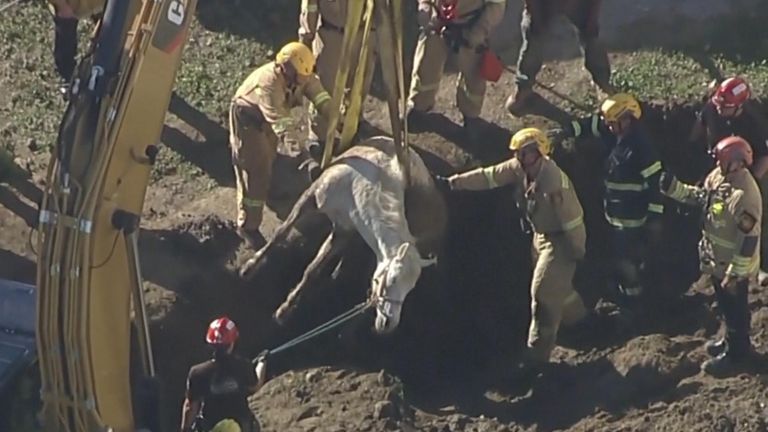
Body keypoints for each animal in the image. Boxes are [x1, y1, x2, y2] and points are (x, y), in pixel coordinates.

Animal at [237, 136, 448, 334]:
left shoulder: (343, 231)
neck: (358, 189)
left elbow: (312, 269)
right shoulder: (313, 197)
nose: (389, 324)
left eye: (410, 287)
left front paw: (284, 310)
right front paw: (250, 268)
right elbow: (282, 234)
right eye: (393, 279)